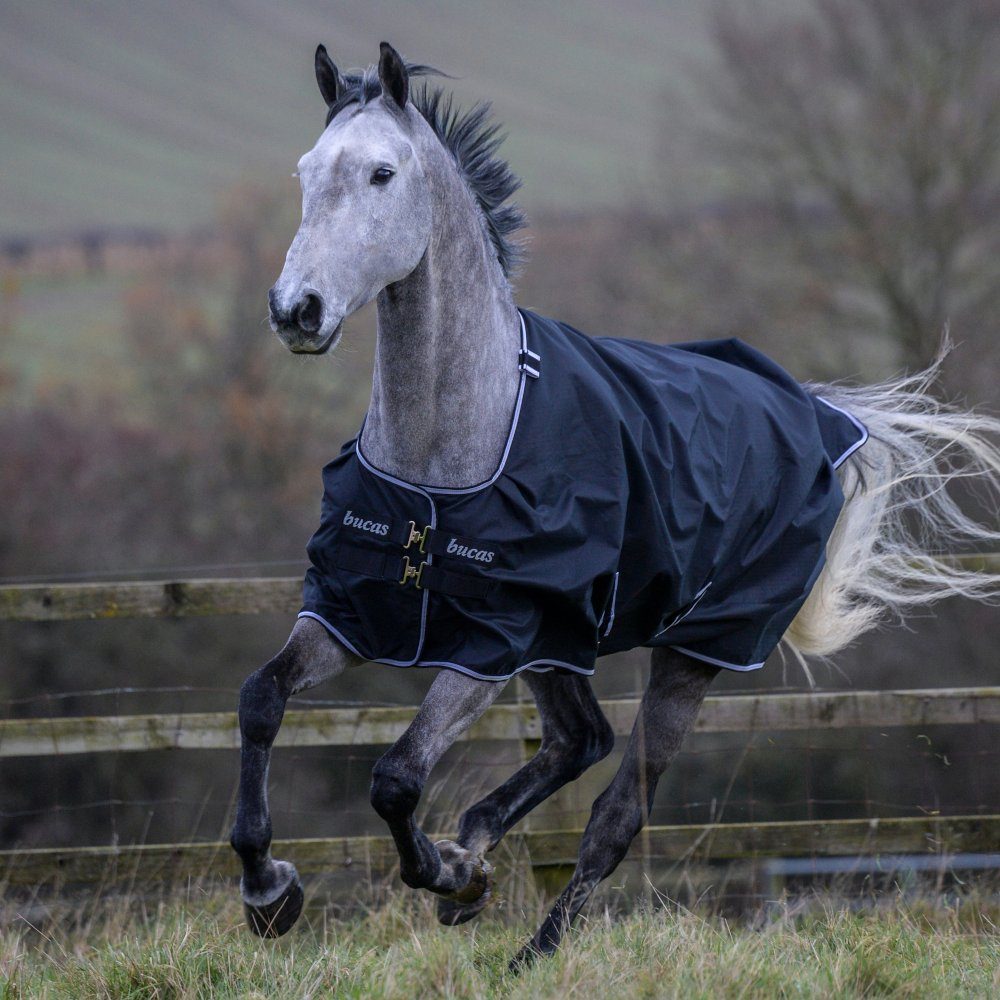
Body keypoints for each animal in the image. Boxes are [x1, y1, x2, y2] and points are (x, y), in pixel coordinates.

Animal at [229, 42, 1000, 967]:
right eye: (307, 172)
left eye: (383, 173)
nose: (295, 311)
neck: (447, 457)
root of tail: (814, 416)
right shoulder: (354, 611)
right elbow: (261, 700)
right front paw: (270, 892)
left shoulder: (490, 645)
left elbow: (396, 778)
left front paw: (441, 876)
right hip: (563, 644)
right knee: (581, 739)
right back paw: (474, 856)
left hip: (692, 652)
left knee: (617, 811)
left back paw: (527, 948)